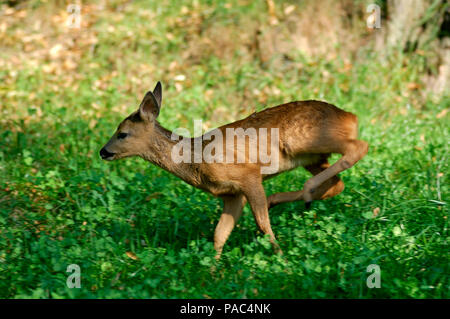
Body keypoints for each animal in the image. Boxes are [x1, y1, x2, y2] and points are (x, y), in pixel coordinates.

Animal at [100, 82, 368, 260]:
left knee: (358, 147)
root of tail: (350, 116)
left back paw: (301, 191)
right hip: (311, 158)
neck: (194, 160)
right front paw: (213, 269)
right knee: (337, 183)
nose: (103, 151)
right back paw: (288, 197)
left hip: (304, 141)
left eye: (122, 133)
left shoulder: (248, 174)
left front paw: (280, 256)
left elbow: (262, 224)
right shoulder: (232, 194)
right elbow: (220, 234)